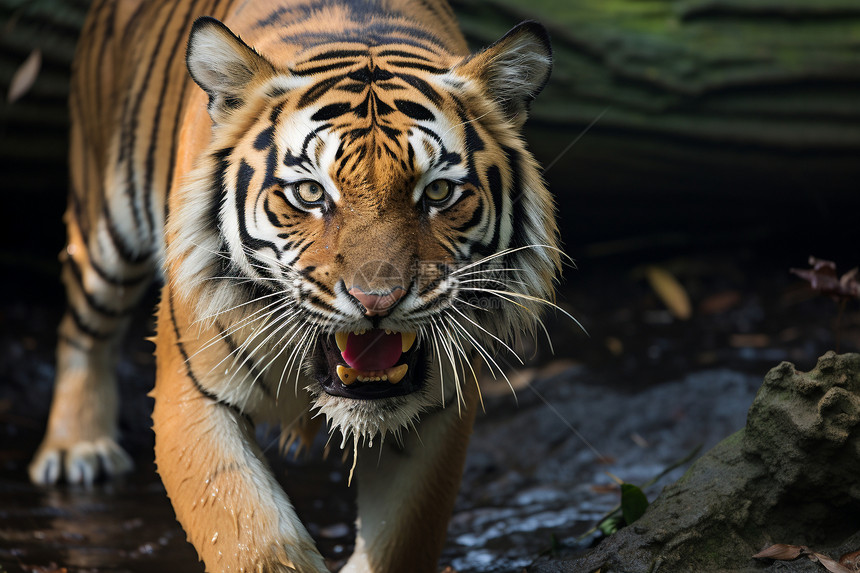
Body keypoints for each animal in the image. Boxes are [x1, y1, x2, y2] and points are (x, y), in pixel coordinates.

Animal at [28, 0, 556, 568]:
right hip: (105, 218)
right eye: (309, 193)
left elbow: (401, 538)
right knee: (83, 325)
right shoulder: (193, 396)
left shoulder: (440, 408)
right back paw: (77, 450)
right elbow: (254, 541)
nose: (377, 302)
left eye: (437, 192)